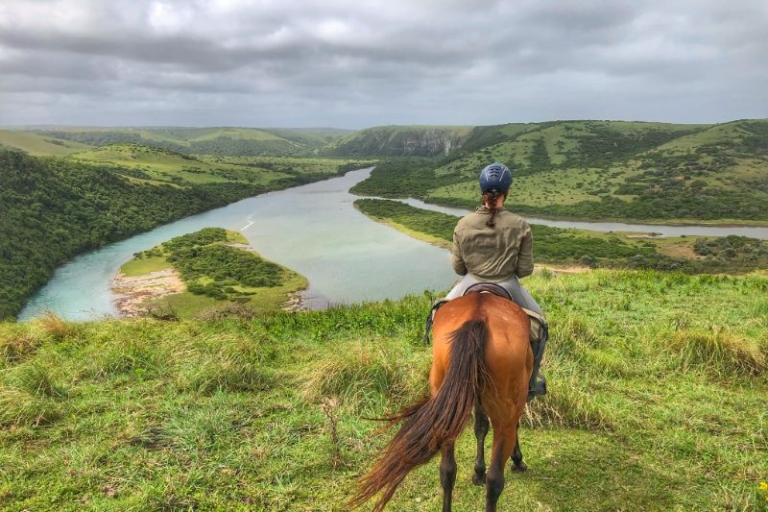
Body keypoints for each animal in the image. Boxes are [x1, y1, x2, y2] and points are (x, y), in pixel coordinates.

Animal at [349, 291, 533, 512]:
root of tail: (478, 316)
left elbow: (480, 427)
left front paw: (478, 471)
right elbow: (504, 425)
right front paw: (516, 460)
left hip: (446, 408)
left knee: (447, 470)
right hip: (504, 415)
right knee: (495, 480)